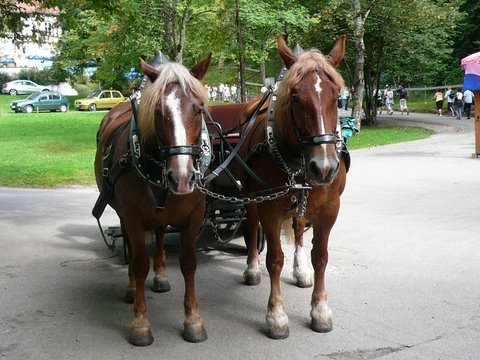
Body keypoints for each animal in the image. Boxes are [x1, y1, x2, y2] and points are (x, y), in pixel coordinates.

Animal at [94, 55, 211, 346]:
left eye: (199, 109)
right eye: (157, 111)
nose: (181, 178)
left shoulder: (194, 216)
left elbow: (189, 264)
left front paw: (193, 320)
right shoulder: (134, 217)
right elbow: (138, 264)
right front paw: (140, 323)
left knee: (158, 233)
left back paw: (160, 275)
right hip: (123, 213)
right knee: (130, 244)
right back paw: (130, 287)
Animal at [239, 35, 344, 338]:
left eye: (337, 97)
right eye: (296, 98)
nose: (324, 167)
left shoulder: (329, 209)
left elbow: (320, 256)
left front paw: (320, 310)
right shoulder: (269, 210)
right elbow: (274, 260)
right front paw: (276, 315)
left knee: (298, 228)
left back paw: (300, 270)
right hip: (252, 199)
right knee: (252, 226)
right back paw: (252, 268)